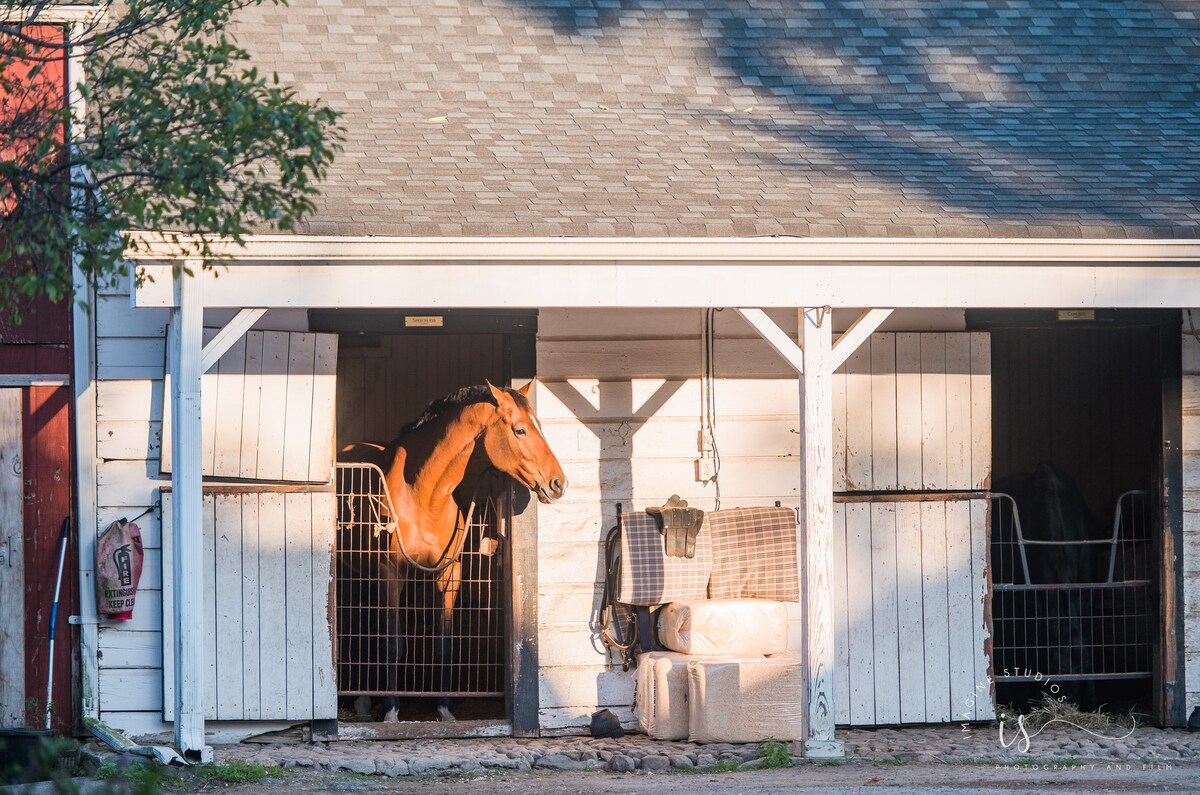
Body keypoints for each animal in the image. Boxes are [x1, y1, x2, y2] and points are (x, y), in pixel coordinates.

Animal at [336, 379, 564, 720]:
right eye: (520, 430)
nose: (558, 483)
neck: (423, 493)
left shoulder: (449, 574)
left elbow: (444, 644)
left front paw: (445, 707)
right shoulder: (391, 573)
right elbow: (393, 644)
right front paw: (391, 709)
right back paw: (363, 700)